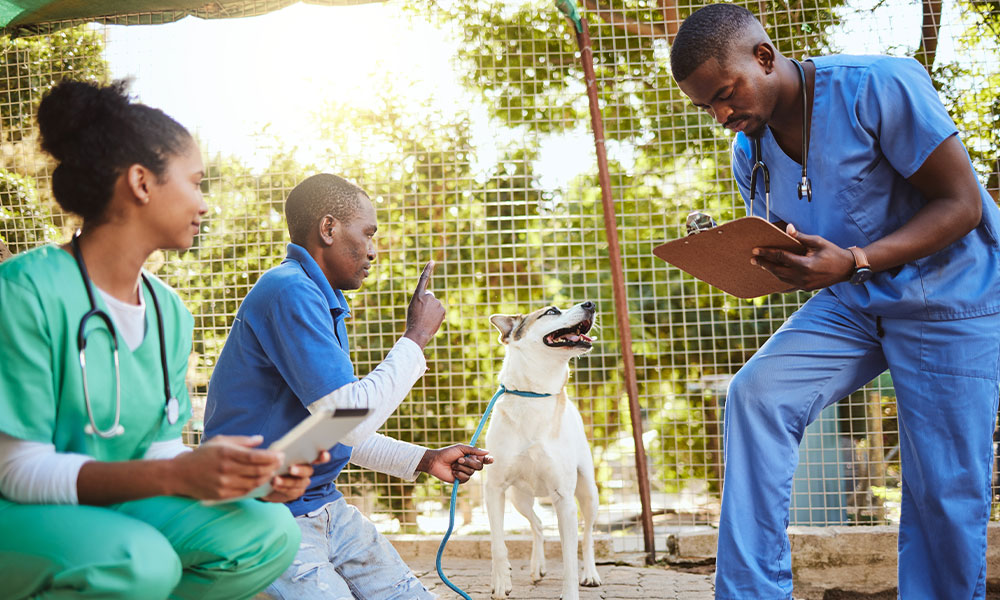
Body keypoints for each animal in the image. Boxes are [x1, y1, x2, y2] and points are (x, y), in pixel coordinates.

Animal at [484, 302, 600, 600]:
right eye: (551, 311)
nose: (590, 304)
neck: (534, 395)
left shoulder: (564, 499)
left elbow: (570, 556)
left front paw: (570, 593)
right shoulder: (495, 489)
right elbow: (498, 544)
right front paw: (500, 582)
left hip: (588, 491)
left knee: (587, 535)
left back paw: (590, 573)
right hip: (518, 497)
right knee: (537, 524)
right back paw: (537, 567)